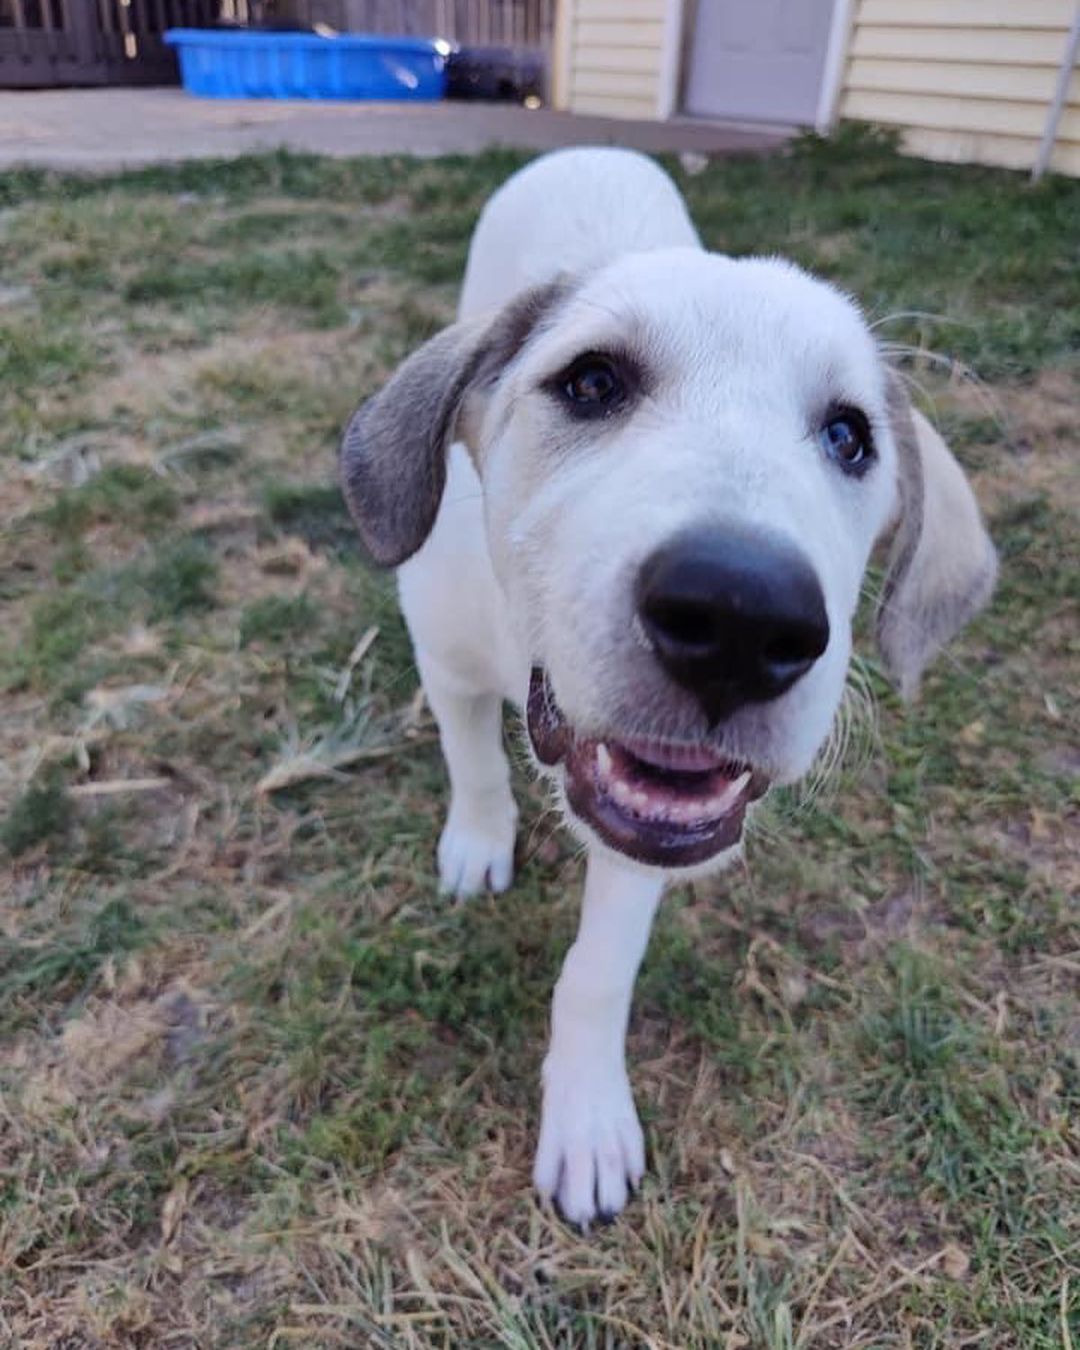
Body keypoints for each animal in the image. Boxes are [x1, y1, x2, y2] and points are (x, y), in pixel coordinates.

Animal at [340, 145, 993, 1225]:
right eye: (592, 382)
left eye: (849, 437)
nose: (743, 618)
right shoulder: (445, 657)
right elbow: (472, 762)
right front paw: (478, 843)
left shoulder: (648, 830)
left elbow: (597, 973)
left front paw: (587, 1119)